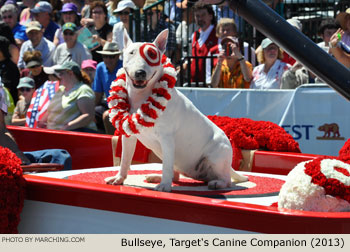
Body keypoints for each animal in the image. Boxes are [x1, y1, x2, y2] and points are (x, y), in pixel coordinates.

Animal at [105, 29, 247, 191]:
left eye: (152, 54)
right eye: (131, 53)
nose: (140, 73)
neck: (141, 96)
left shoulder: (167, 139)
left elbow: (166, 165)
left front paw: (164, 186)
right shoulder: (128, 136)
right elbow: (125, 160)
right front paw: (119, 178)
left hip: (216, 156)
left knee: (226, 179)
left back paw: (217, 183)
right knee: (175, 174)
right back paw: (156, 177)